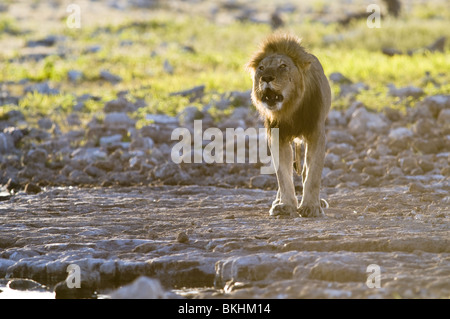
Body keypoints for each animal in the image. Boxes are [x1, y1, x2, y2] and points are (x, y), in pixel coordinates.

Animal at [246, 33, 330, 218]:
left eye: (283, 66)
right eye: (261, 68)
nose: (266, 78)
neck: (290, 109)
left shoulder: (316, 133)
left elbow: (313, 174)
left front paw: (311, 206)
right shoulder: (277, 137)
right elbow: (283, 176)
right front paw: (286, 205)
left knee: (305, 170)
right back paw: (277, 201)